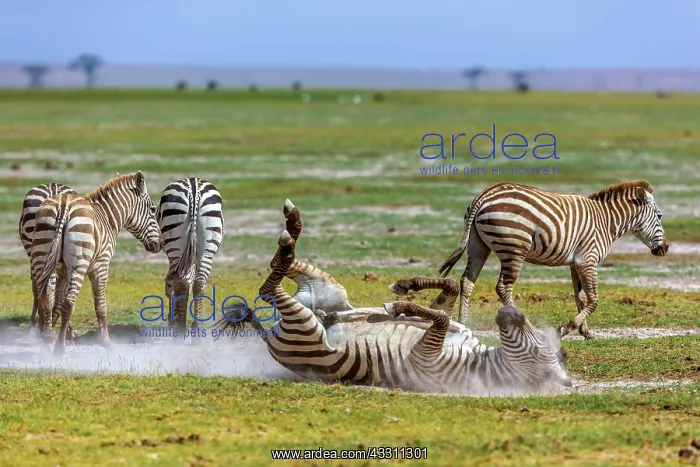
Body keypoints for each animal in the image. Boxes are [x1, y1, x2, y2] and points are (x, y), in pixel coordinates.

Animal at [30, 171, 162, 355]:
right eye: (153, 209)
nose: (159, 245)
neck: (108, 217)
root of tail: (64, 205)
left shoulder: (62, 270)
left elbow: (56, 303)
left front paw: (48, 336)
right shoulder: (101, 265)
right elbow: (100, 306)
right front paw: (107, 343)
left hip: (41, 257)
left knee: (44, 298)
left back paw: (49, 342)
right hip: (78, 264)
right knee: (69, 302)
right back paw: (59, 348)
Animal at [157, 177, 224, 333]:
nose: (169, 320)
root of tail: (194, 188)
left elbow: (172, 285)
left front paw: (173, 318)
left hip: (176, 246)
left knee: (182, 283)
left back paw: (180, 327)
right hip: (207, 248)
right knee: (199, 283)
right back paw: (196, 328)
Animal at [214, 199, 571, 394]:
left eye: (537, 347)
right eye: (538, 338)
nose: (513, 313)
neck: (481, 361)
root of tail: (271, 335)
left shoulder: (425, 359)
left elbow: (440, 317)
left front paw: (398, 304)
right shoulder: (450, 331)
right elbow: (449, 294)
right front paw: (404, 289)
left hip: (304, 327)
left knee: (269, 288)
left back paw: (289, 235)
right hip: (329, 290)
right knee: (281, 268)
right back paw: (293, 223)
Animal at [437, 180, 669, 340]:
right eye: (659, 216)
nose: (666, 248)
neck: (606, 221)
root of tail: (484, 195)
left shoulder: (576, 263)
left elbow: (581, 298)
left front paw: (586, 332)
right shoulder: (588, 259)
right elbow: (594, 300)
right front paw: (566, 328)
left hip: (478, 246)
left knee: (467, 281)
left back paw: (464, 324)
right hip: (514, 248)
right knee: (503, 288)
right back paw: (529, 328)